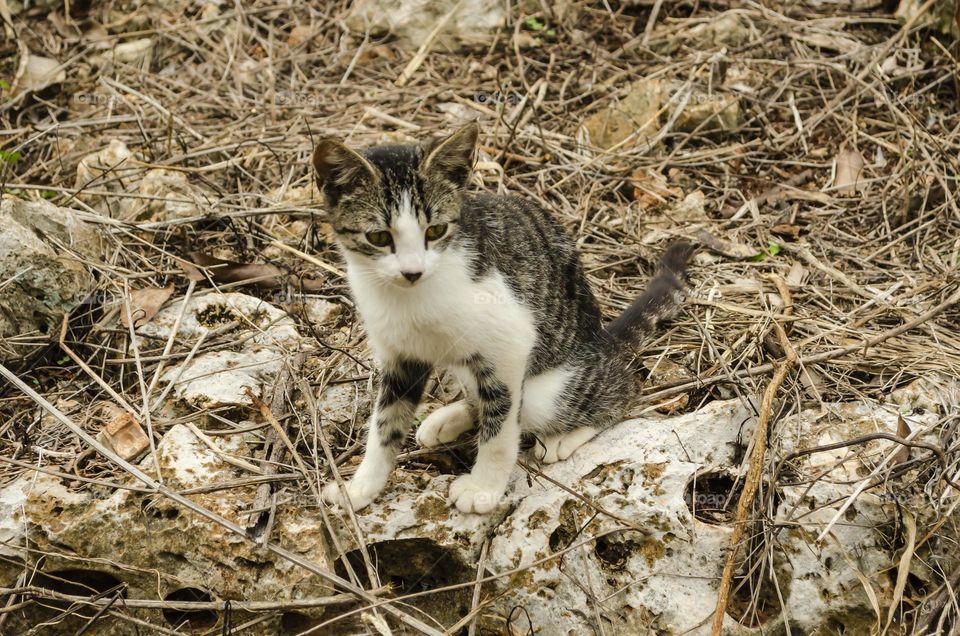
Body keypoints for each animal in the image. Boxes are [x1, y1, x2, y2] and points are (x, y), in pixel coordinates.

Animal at [314, 125, 688, 516]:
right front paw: (359, 488)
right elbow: (385, 424)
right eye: (379, 237)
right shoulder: (399, 354)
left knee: (621, 389)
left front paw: (483, 488)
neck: (409, 298)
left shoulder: (510, 340)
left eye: (435, 231)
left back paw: (568, 434)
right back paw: (450, 418)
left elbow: (501, 426)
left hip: (551, 387)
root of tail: (602, 340)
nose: (412, 271)